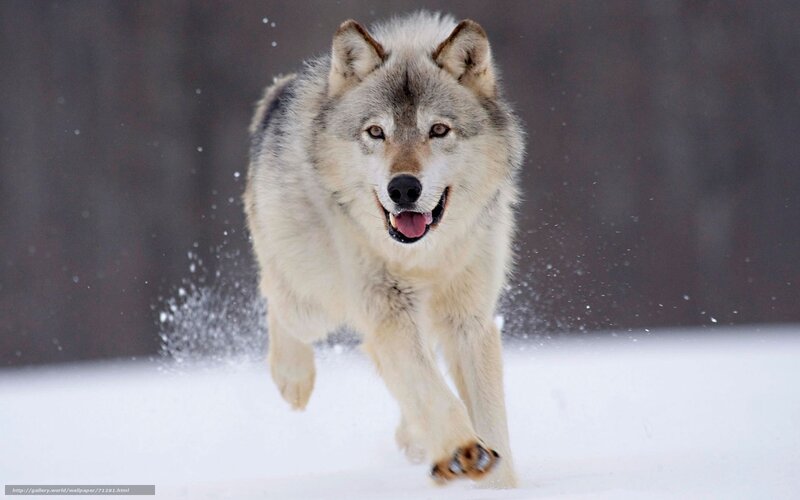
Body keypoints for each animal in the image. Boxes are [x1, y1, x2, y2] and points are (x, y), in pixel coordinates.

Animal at [244, 11, 524, 488]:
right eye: (376, 132)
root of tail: (279, 92)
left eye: (438, 130)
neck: (423, 257)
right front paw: (461, 450)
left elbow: (489, 418)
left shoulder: (469, 320)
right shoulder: (388, 309)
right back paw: (293, 379)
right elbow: (433, 390)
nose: (404, 188)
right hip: (313, 302)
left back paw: (415, 440)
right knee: (277, 300)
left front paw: (496, 481)